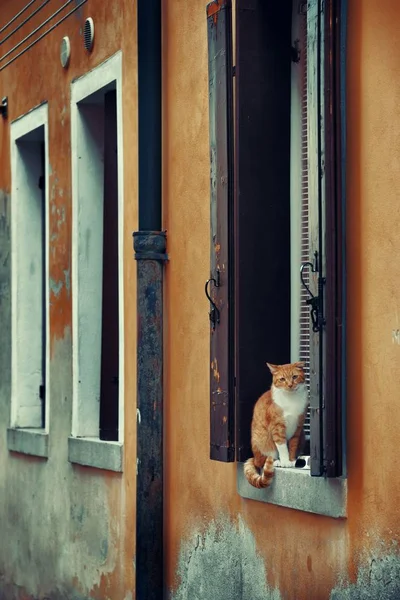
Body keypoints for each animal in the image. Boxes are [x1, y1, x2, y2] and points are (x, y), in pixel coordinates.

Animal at [242, 360, 308, 488]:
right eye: (282, 379)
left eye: (294, 377)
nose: (290, 385)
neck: (291, 400)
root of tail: (254, 457)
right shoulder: (277, 428)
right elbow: (282, 447)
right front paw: (285, 461)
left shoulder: (297, 428)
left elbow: (292, 445)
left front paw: (292, 461)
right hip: (262, 441)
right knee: (262, 462)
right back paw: (276, 461)